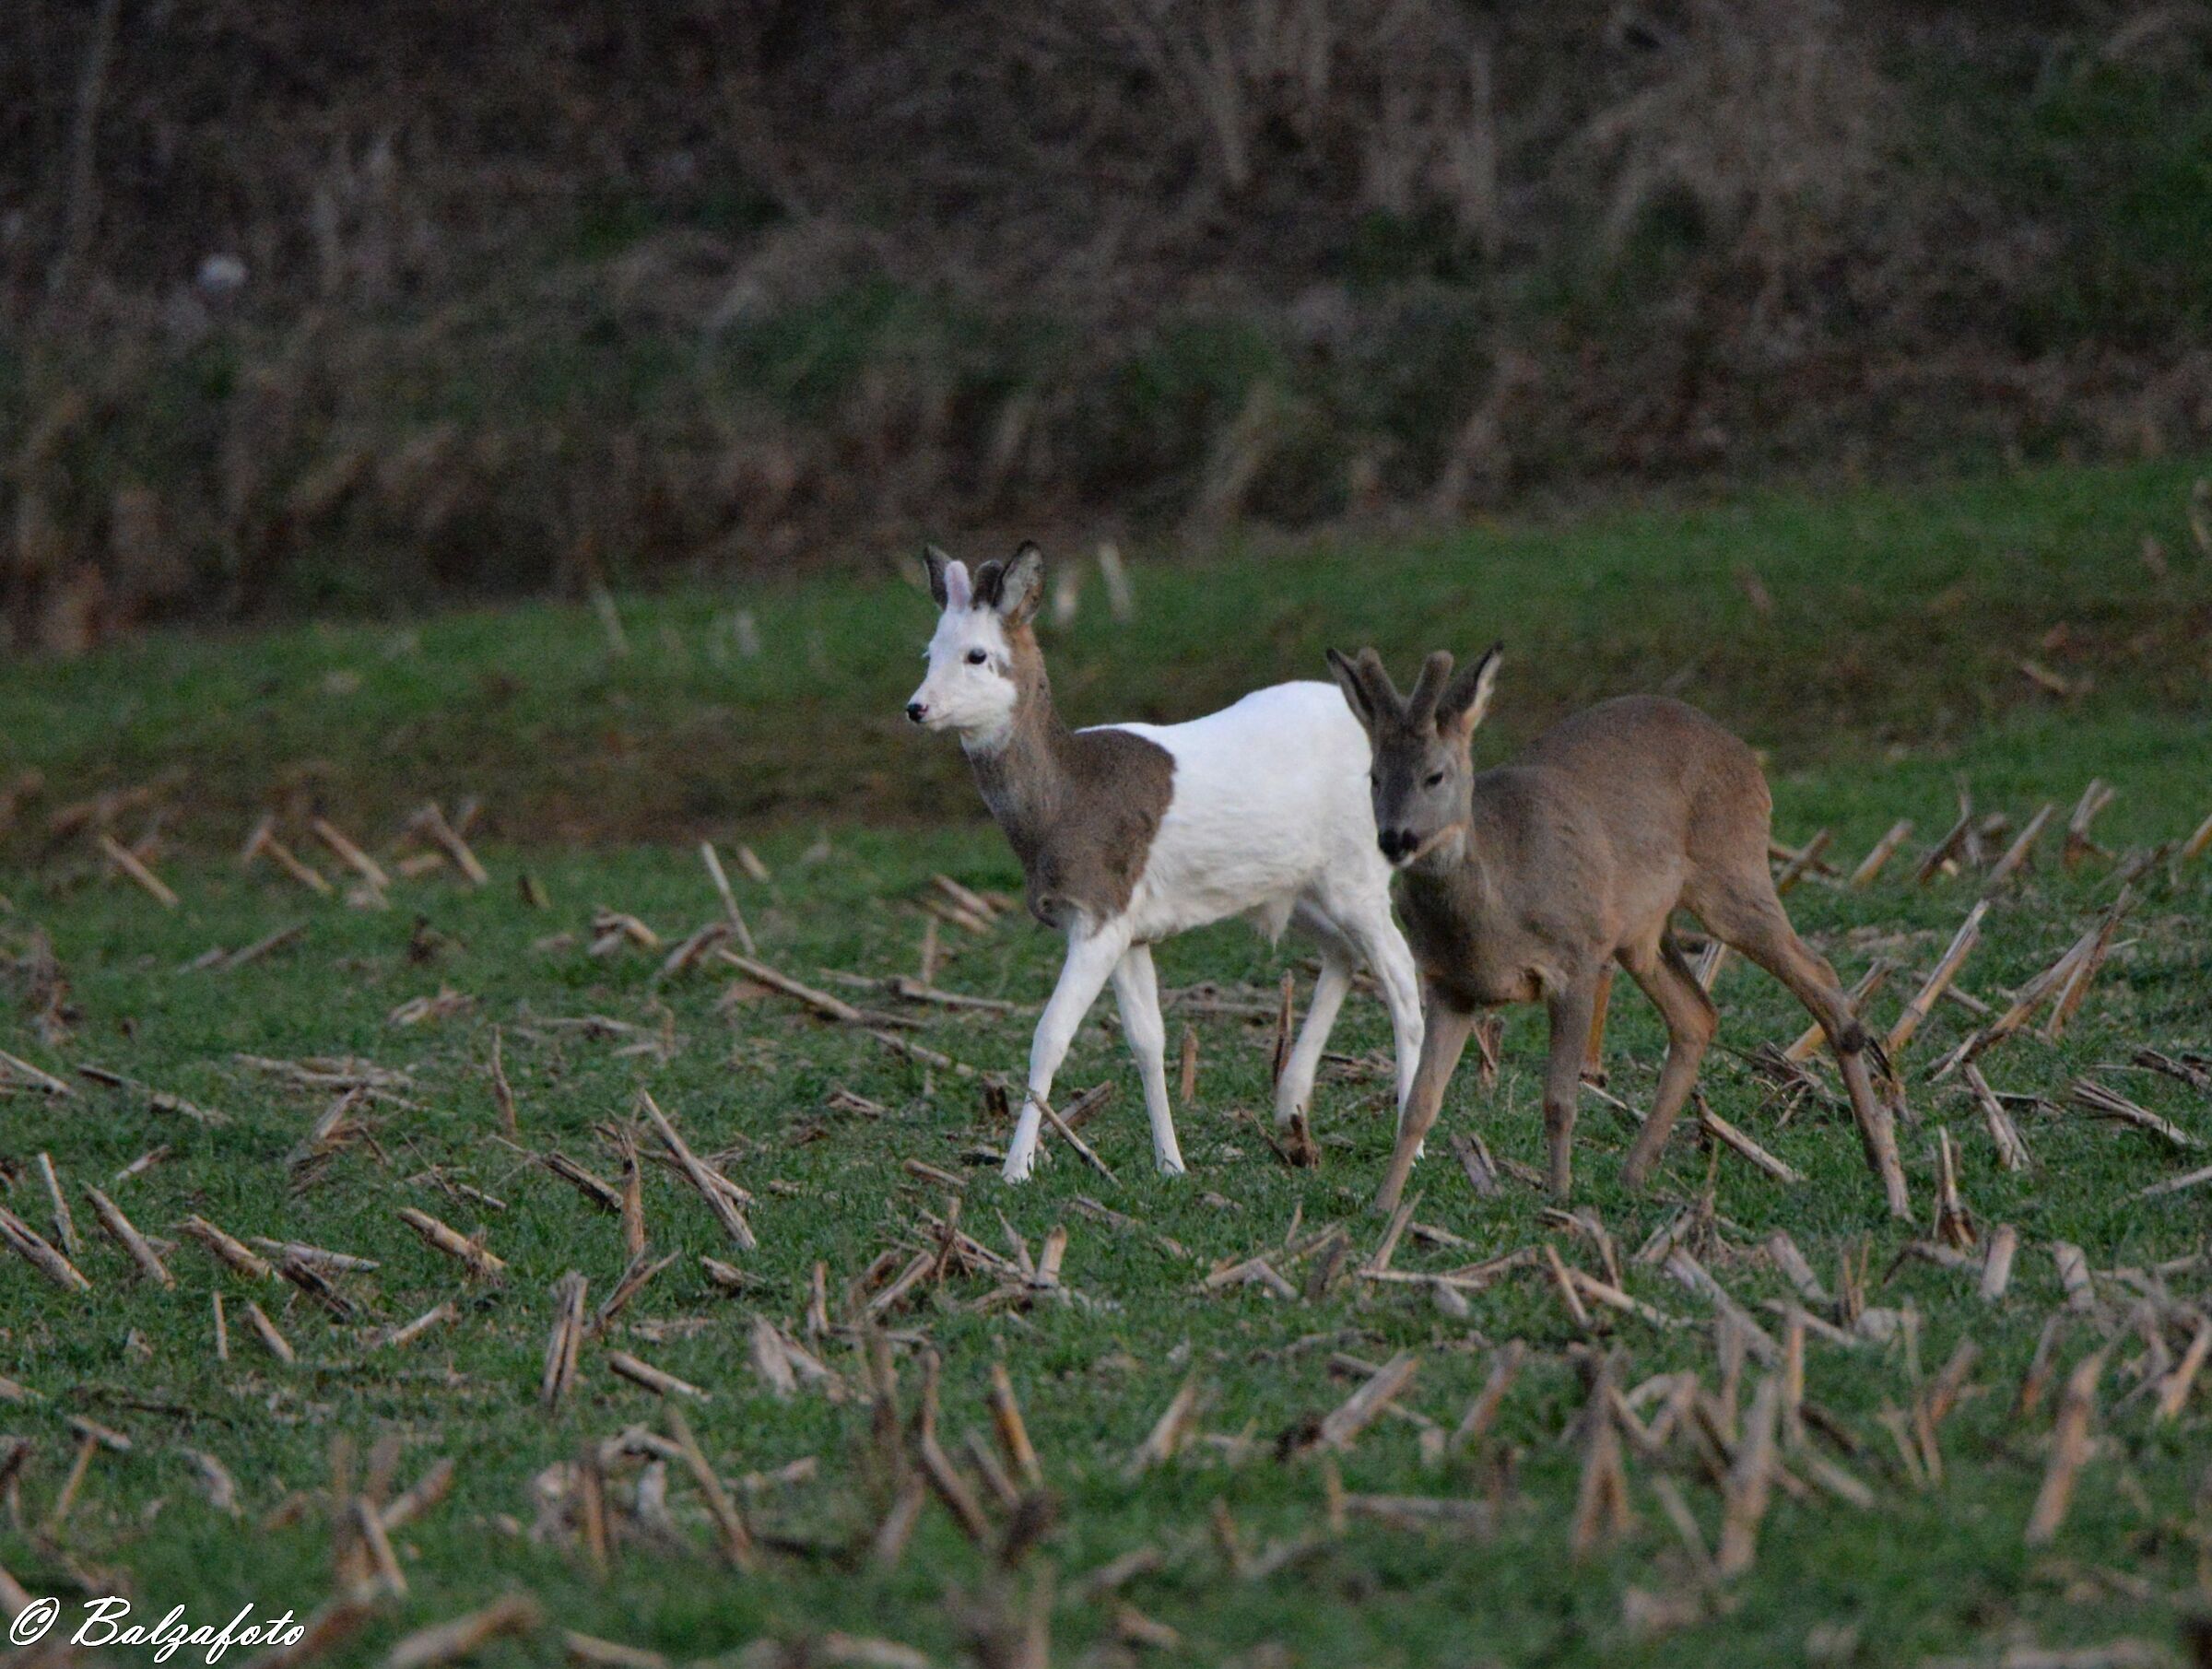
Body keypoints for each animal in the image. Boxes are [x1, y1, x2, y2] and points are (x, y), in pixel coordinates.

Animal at [907, 544, 1425, 1184]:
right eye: (929, 651)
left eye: (977, 655)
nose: (916, 707)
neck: (1066, 797)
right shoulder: (1132, 928)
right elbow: (1147, 1041)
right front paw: (1170, 1162)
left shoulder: (1101, 910)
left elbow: (1051, 1035)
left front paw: (1016, 1169)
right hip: (1297, 888)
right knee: (1344, 955)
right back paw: (1290, 1108)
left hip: (1358, 869)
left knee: (1401, 976)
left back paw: (1410, 1141)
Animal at [1326, 644, 1912, 1220]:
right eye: (1374, 777)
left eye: (1435, 776)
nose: (1395, 838)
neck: (1495, 904)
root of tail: (1743, 751)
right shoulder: (1451, 985)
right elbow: (1419, 1104)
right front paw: (1382, 1208)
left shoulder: (1577, 956)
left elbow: (1560, 1099)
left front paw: (1560, 1199)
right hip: (1642, 932)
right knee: (1697, 1014)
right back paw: (1636, 1172)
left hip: (1732, 869)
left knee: (1821, 975)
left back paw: (1881, 1162)